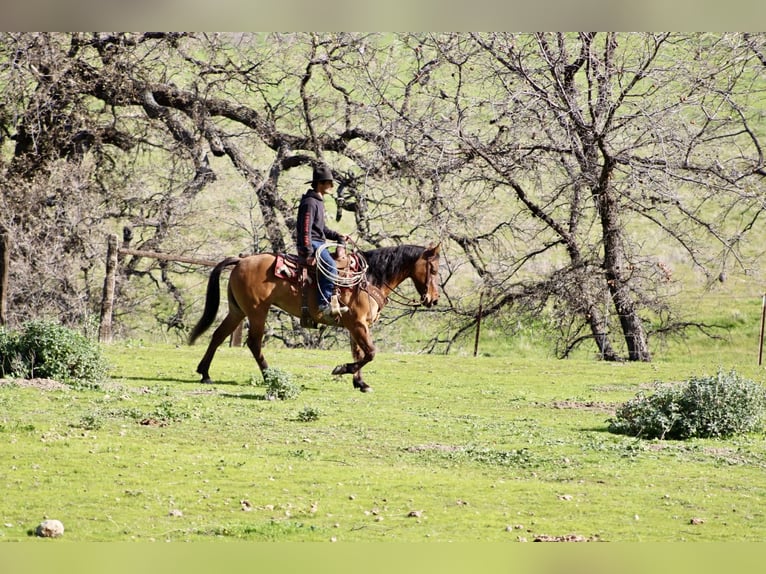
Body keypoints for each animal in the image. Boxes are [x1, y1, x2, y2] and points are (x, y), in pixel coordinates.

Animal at [188, 243, 441, 392]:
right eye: (434, 270)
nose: (434, 299)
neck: (368, 278)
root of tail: (241, 260)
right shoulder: (358, 324)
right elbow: (369, 353)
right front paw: (342, 369)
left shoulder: (356, 326)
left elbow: (359, 352)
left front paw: (360, 383)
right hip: (257, 311)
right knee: (253, 343)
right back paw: (269, 376)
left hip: (237, 311)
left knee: (218, 336)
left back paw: (205, 373)